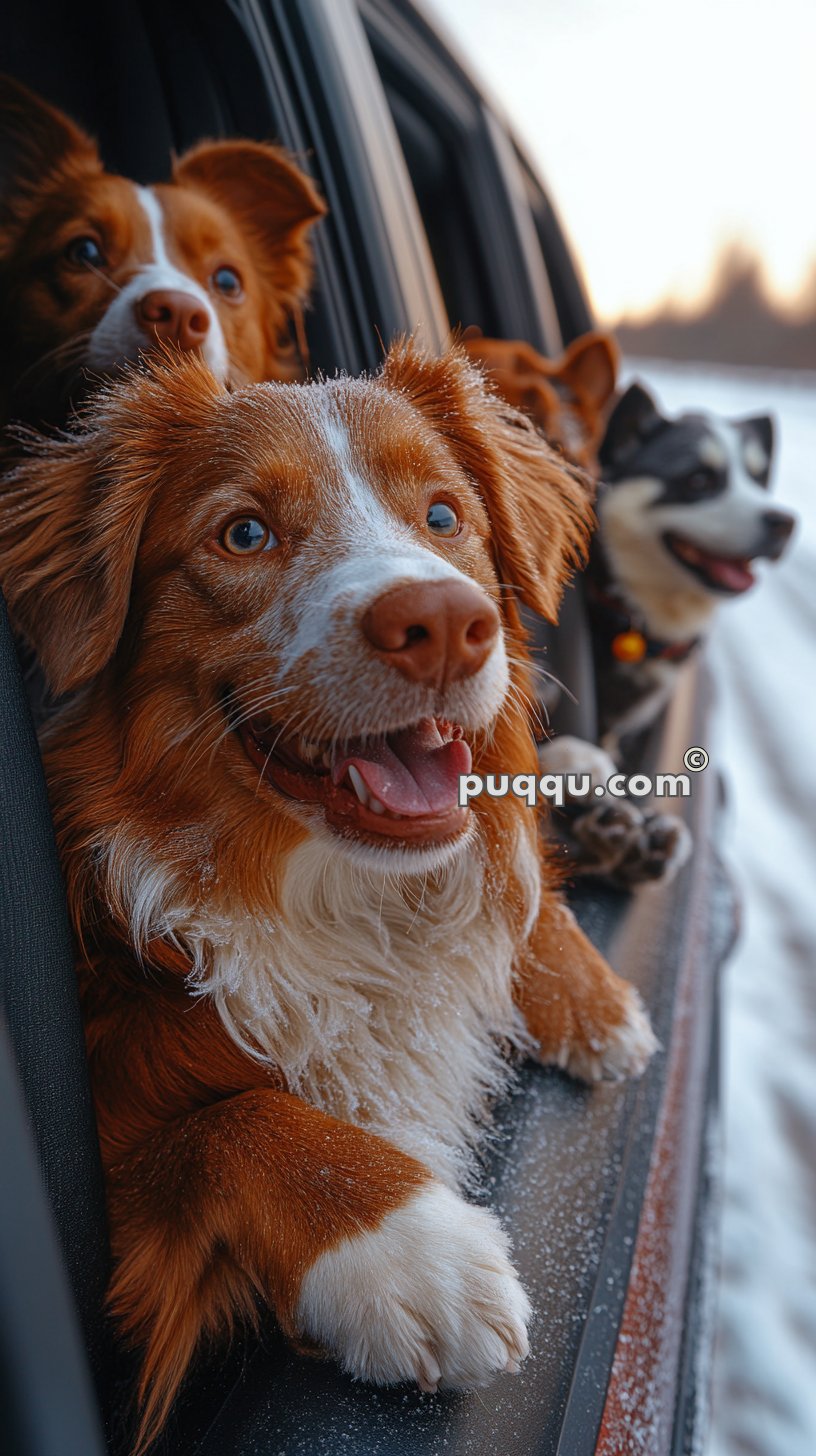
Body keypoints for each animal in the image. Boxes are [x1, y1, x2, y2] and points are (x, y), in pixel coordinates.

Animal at [0, 340, 652, 1444]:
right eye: (244, 533)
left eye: (444, 515)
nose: (445, 622)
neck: (343, 903)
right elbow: (232, 1122)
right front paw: (411, 1247)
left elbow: (513, 879)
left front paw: (590, 995)